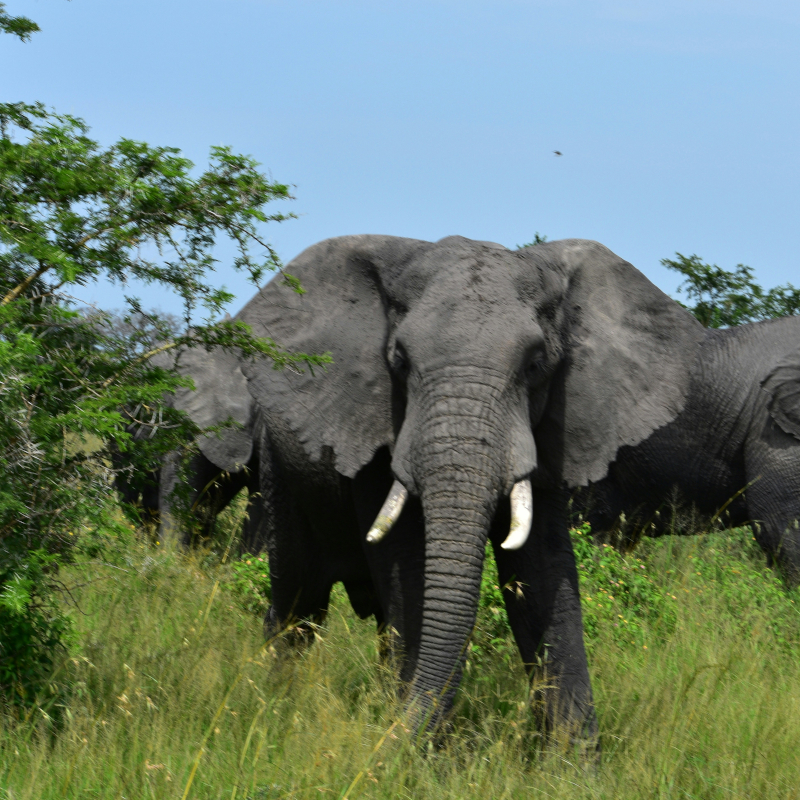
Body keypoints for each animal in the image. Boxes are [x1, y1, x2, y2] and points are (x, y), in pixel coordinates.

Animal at [234, 233, 708, 738]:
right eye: (399, 361)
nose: (394, 739)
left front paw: (575, 755)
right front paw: (417, 748)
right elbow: (408, 564)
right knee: (298, 601)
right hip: (279, 467)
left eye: (536, 364)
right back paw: (274, 704)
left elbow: (543, 571)